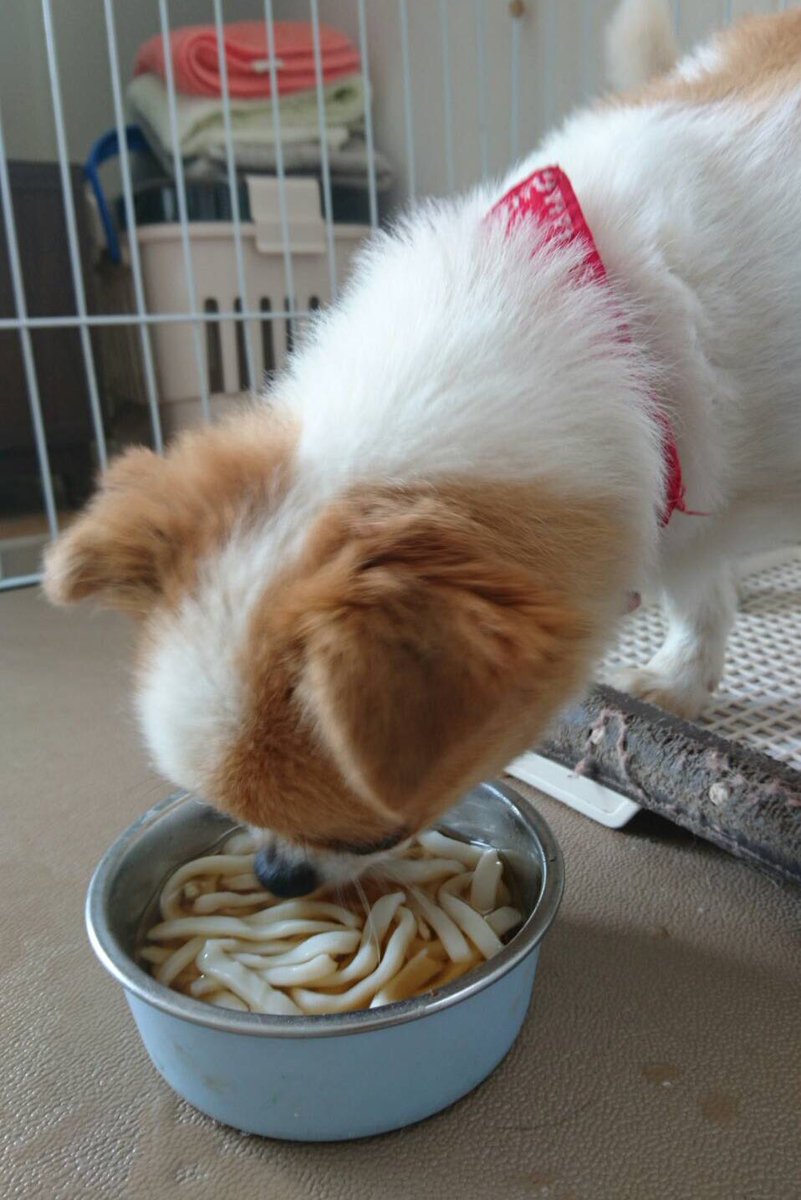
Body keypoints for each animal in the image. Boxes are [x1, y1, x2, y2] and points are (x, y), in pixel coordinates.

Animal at [45, 2, 801, 892]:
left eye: (369, 833)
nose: (274, 873)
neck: (621, 321)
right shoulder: (682, 494)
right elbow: (698, 594)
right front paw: (680, 679)